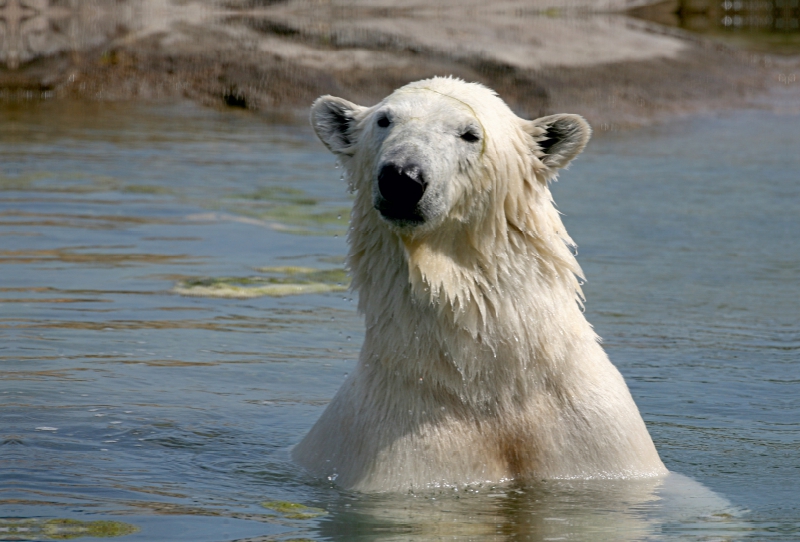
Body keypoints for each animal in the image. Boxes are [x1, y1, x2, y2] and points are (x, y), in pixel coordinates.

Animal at [290, 77, 664, 492]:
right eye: (384, 121)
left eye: (470, 134)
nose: (402, 178)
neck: (488, 385)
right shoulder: (401, 453)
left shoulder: (596, 444)